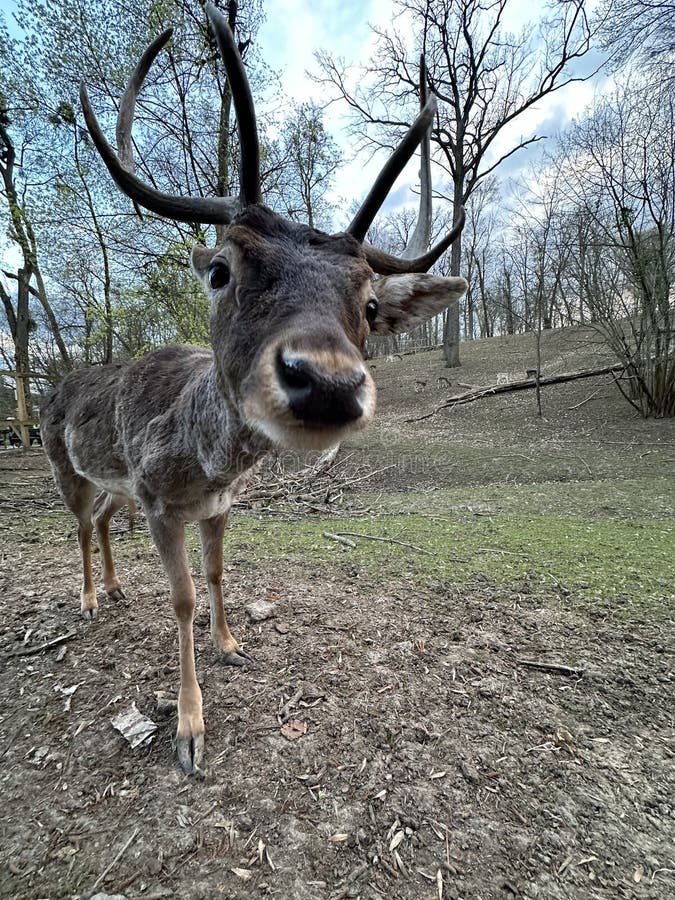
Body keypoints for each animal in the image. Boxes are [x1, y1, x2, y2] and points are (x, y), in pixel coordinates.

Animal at [39, 1, 468, 772]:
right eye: (221, 271)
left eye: (369, 305)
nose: (325, 383)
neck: (205, 460)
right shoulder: (157, 500)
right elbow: (181, 597)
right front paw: (189, 729)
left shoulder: (217, 505)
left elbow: (215, 576)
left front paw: (232, 643)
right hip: (68, 468)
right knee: (79, 525)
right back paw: (87, 599)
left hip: (113, 484)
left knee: (102, 521)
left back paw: (115, 590)